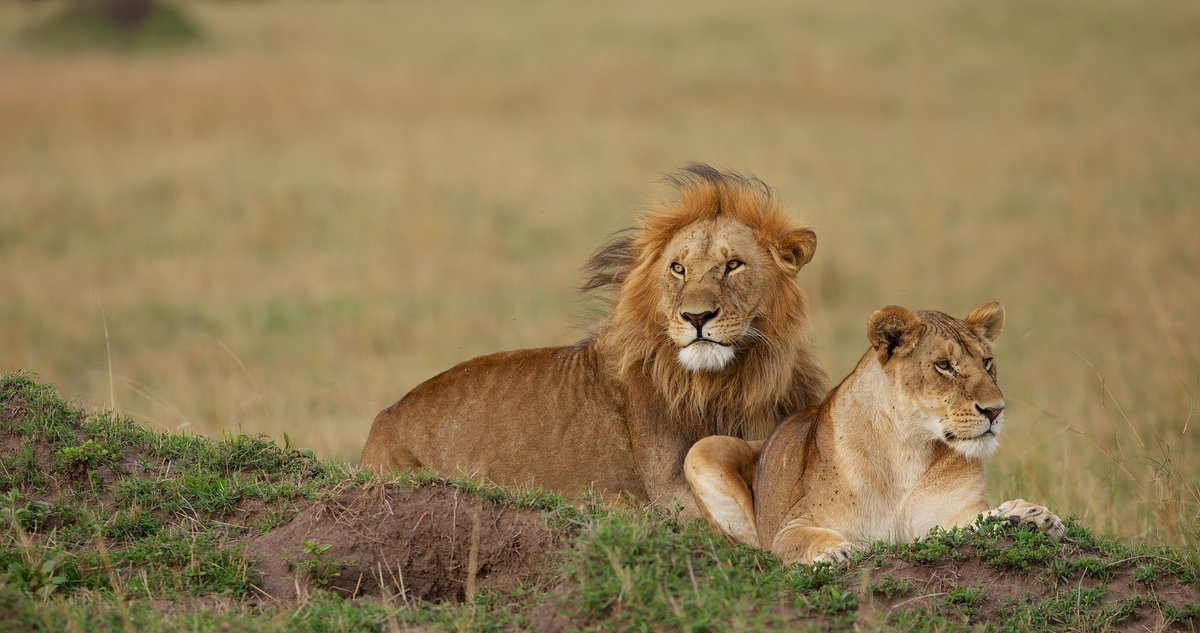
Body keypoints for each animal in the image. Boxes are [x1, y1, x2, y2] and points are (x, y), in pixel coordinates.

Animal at [360, 164, 825, 513]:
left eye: (733, 265)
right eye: (678, 268)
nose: (696, 317)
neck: (731, 384)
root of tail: (382, 421)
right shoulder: (670, 489)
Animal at [681, 302, 1065, 563]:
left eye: (986, 362)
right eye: (944, 365)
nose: (996, 410)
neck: (908, 447)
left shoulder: (947, 517)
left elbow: (976, 521)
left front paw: (1031, 517)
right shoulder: (791, 526)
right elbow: (803, 539)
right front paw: (834, 553)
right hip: (703, 448)